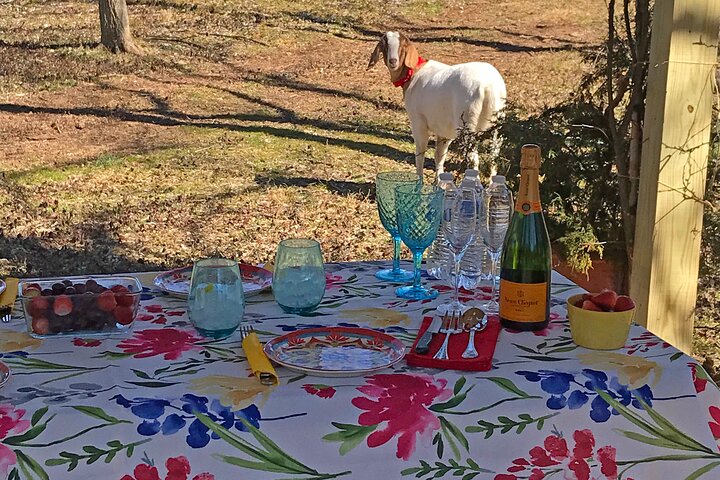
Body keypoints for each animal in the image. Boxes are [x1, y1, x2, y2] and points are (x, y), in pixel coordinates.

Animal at [368, 31, 506, 178]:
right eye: (385, 45)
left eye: (403, 45)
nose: (393, 61)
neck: (413, 74)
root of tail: (488, 86)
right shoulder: (444, 131)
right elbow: (439, 155)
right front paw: (438, 182)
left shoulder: (418, 123)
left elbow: (420, 152)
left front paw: (420, 179)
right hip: (497, 125)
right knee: (494, 155)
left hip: (467, 124)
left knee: (473, 159)